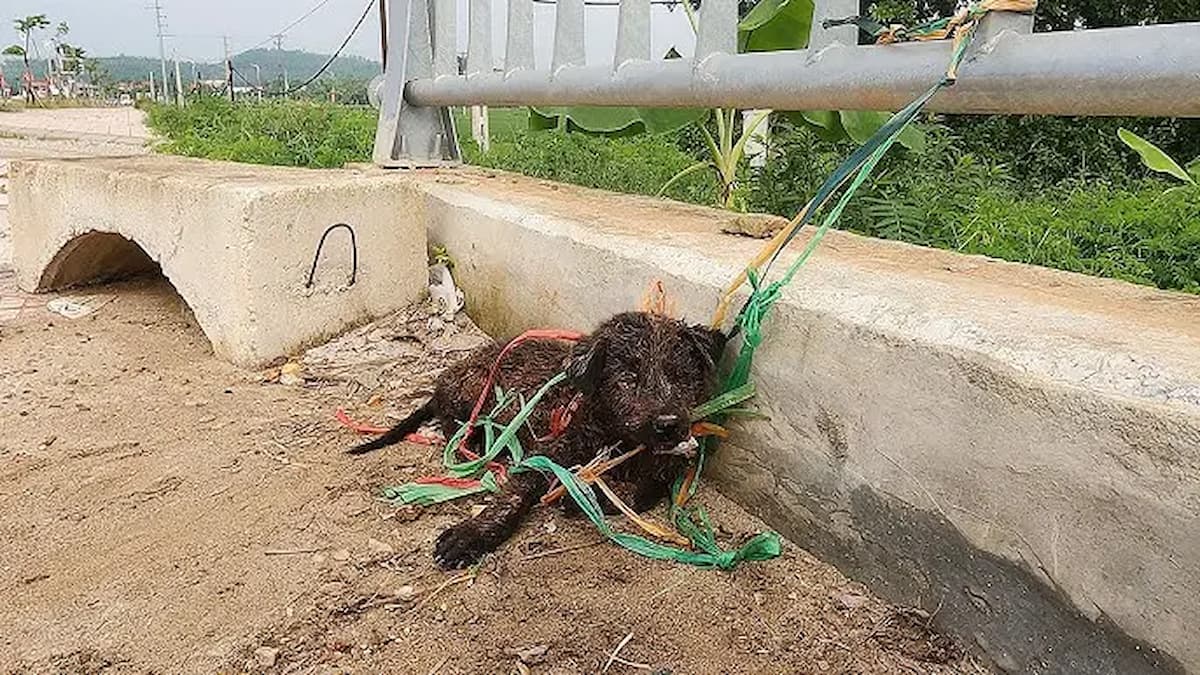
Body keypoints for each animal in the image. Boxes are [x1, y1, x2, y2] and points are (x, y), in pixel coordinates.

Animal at [348, 312, 720, 566]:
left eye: (682, 377)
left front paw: (588, 496)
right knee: (451, 422)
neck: (616, 436)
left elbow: (644, 491)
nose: (669, 424)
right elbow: (515, 495)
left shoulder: (666, 464)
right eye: (628, 378)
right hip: (474, 389)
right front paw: (472, 535)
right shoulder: (546, 453)